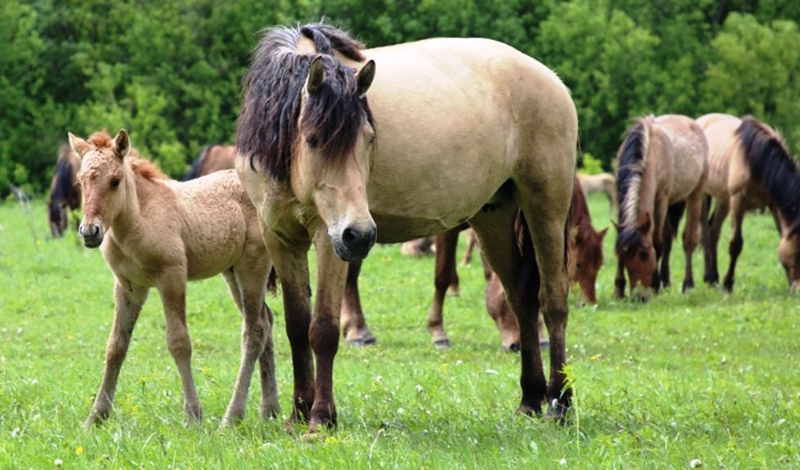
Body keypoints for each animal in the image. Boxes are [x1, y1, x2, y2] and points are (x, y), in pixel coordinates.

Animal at [69, 129, 282, 426]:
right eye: (80, 182)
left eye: (115, 181)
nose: (90, 232)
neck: (138, 219)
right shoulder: (128, 286)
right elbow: (116, 346)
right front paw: (96, 415)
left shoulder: (172, 276)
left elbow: (179, 342)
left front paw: (193, 414)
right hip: (232, 273)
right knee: (268, 320)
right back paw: (269, 410)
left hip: (252, 266)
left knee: (255, 330)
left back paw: (232, 417)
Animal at [234, 23, 580, 432]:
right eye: (313, 140)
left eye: (369, 139)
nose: (361, 234)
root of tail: (551, 80)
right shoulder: (281, 238)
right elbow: (296, 326)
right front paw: (298, 413)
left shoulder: (327, 238)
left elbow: (323, 329)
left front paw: (320, 418)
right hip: (493, 218)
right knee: (522, 301)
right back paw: (529, 399)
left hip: (546, 208)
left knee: (553, 301)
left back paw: (559, 403)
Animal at [612, 116, 708, 302]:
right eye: (625, 257)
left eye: (644, 255)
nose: (639, 297)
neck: (650, 153)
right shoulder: (620, 198)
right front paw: (619, 288)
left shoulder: (661, 199)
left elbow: (657, 243)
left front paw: (654, 285)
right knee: (669, 238)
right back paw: (666, 281)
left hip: (696, 194)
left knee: (689, 240)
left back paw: (687, 284)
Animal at [696, 113, 800, 290]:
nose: (798, 289)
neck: (757, 159)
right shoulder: (739, 200)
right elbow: (735, 245)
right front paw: (728, 283)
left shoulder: (773, 204)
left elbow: (782, 234)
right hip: (704, 194)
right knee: (705, 232)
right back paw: (709, 277)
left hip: (724, 199)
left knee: (713, 231)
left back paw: (714, 278)